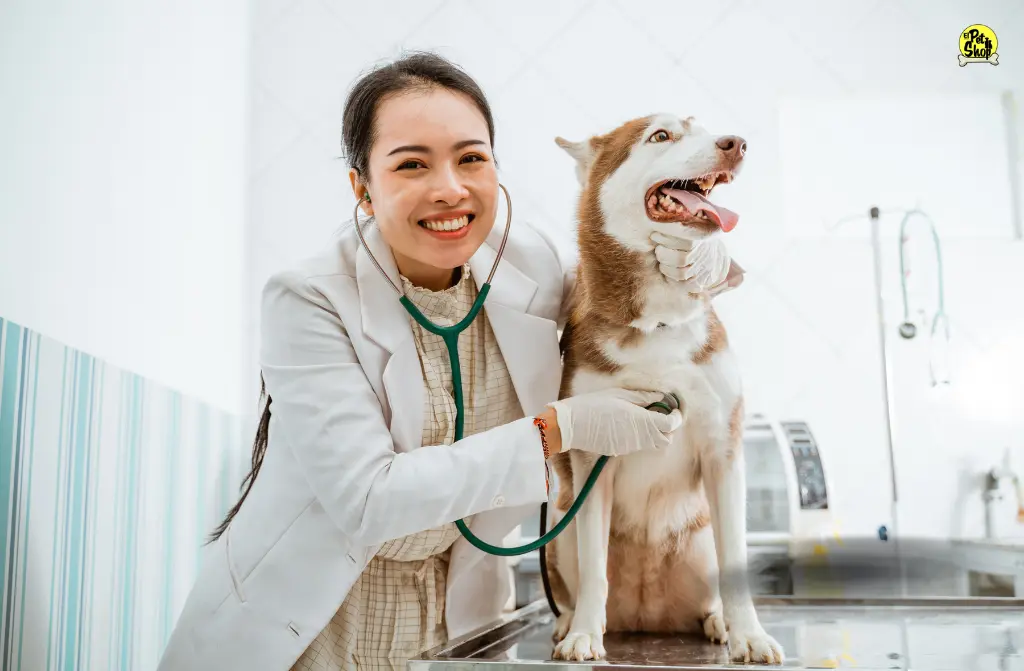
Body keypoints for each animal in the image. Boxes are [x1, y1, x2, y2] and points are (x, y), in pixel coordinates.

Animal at [544, 115, 782, 667]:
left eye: (707, 128)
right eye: (660, 136)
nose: (737, 142)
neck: (658, 322)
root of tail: (646, 616)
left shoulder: (723, 450)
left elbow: (737, 566)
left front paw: (750, 634)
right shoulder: (592, 457)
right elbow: (594, 569)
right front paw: (584, 635)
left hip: (701, 538)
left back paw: (718, 621)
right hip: (559, 527)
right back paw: (571, 622)